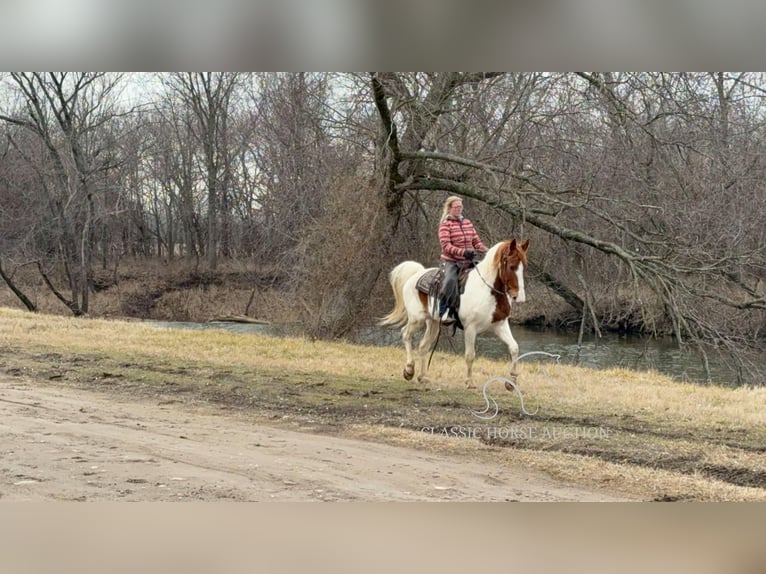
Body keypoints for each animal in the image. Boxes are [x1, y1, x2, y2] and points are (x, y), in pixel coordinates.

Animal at [380, 238, 532, 388]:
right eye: (512, 266)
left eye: (524, 266)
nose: (519, 297)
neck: (488, 290)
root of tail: (416, 274)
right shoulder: (470, 328)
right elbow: (470, 355)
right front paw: (469, 382)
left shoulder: (500, 325)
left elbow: (514, 348)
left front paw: (512, 381)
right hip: (417, 319)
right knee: (406, 334)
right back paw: (409, 370)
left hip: (433, 323)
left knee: (423, 346)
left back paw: (422, 377)